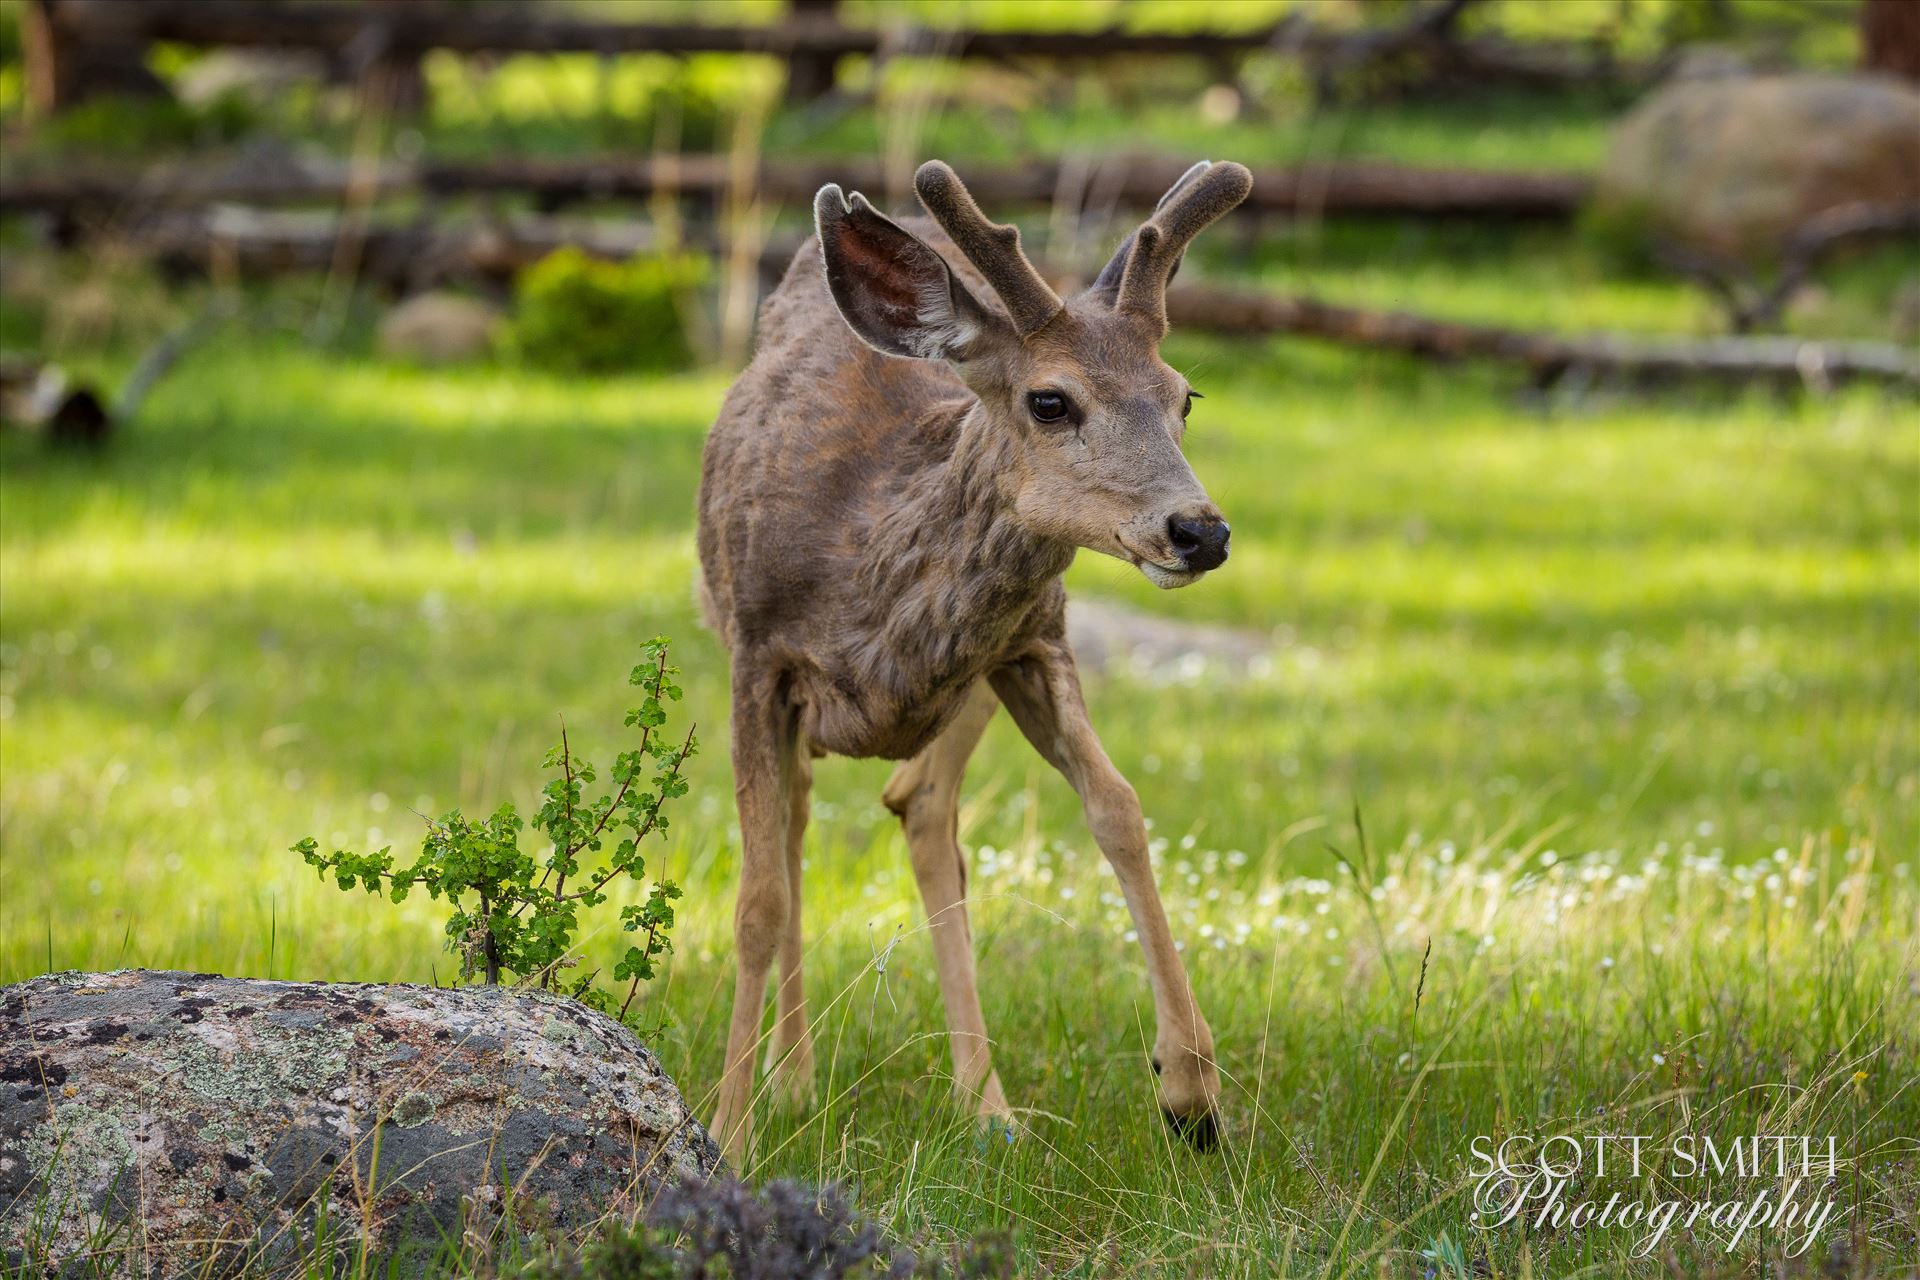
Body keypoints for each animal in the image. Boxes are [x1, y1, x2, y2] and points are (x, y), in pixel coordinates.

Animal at [696, 158, 1252, 1166]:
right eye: (1050, 400)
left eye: (1184, 395)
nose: (1199, 531)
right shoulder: (758, 655)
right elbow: (758, 900)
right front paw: (728, 1134)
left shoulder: (1036, 641)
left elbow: (1120, 811)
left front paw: (1191, 1091)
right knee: (800, 826)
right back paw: (793, 1079)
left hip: (978, 677)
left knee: (923, 809)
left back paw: (985, 1103)